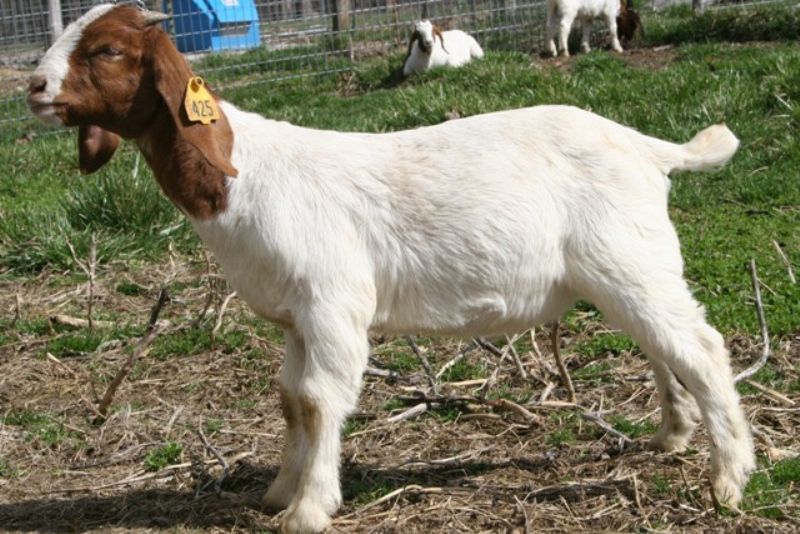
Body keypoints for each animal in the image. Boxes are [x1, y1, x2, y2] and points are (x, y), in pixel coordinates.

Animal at [28, 4, 754, 533]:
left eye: (107, 50)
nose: (33, 87)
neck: (244, 175)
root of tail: (647, 148)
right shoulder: (296, 316)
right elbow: (290, 399)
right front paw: (279, 491)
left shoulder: (331, 301)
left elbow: (319, 400)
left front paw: (309, 509)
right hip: (624, 268)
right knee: (663, 346)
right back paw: (672, 436)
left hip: (630, 261)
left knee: (701, 347)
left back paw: (730, 477)